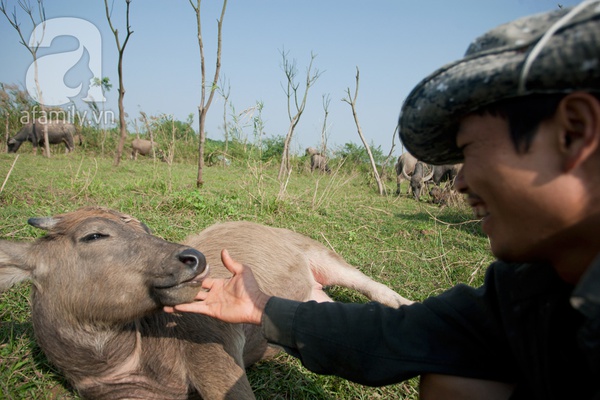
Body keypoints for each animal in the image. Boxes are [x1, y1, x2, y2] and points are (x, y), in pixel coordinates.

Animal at [0, 208, 412, 398]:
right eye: (94, 236)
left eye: (144, 229)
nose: (193, 258)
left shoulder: (215, 358)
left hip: (322, 254)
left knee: (372, 286)